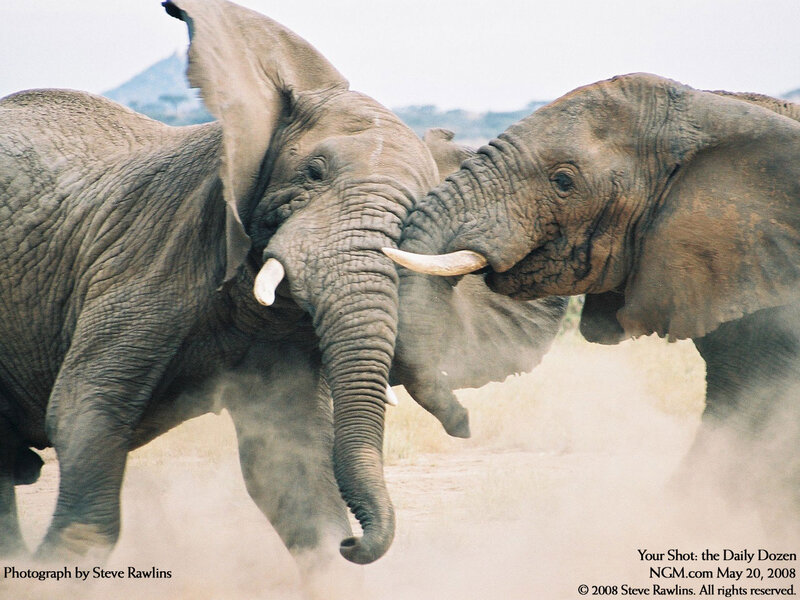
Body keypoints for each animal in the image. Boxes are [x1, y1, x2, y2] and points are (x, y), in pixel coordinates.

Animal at [0, 0, 566, 586]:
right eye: (313, 172)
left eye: (415, 210)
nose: (356, 541)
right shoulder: (148, 257)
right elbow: (85, 413)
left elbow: (291, 467)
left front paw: (334, 549)